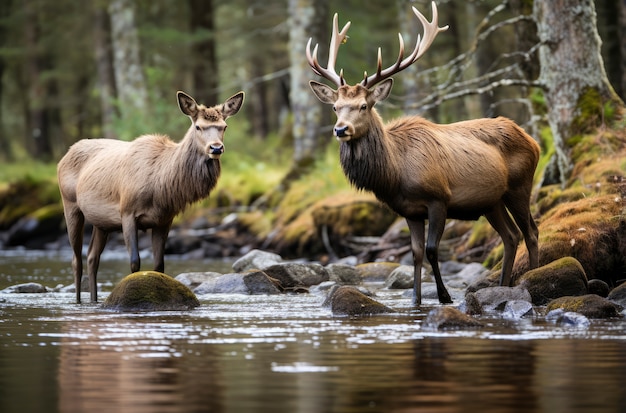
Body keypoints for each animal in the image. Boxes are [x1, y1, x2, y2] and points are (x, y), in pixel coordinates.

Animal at [56, 90, 244, 302]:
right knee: (76, 260)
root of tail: (64, 157)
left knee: (92, 258)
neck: (160, 185)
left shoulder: (164, 219)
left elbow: (159, 265)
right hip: (70, 205)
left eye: (224, 126)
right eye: (198, 127)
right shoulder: (127, 212)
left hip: (101, 223)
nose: (216, 148)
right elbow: (134, 262)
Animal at [306, 1, 536, 304]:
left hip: (520, 185)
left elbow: (431, 250)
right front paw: (415, 299)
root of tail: (533, 141)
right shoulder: (409, 211)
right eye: (335, 107)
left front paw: (445, 297)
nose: (341, 129)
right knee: (510, 236)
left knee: (531, 232)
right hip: (492, 201)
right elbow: (415, 254)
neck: (395, 173)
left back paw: (535, 278)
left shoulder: (439, 198)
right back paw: (504, 285)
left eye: (363, 106)